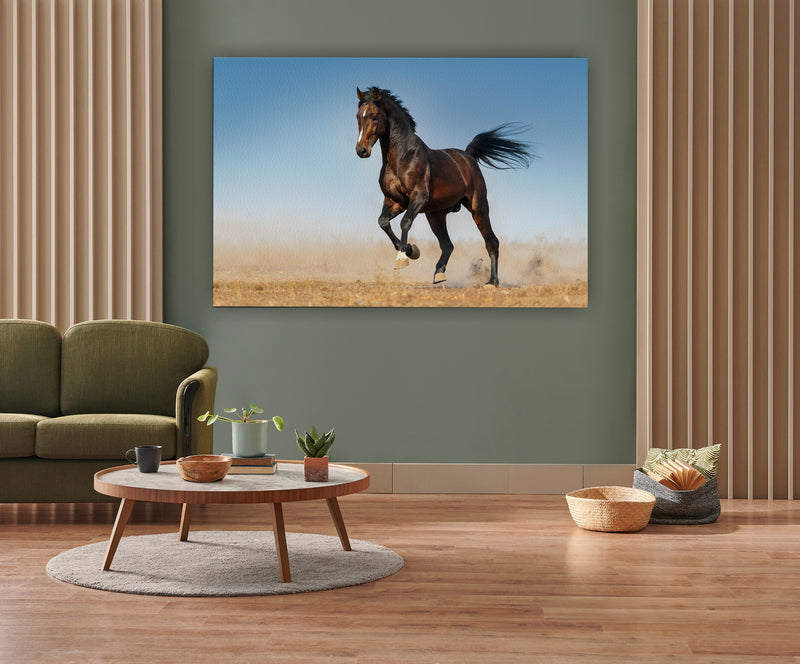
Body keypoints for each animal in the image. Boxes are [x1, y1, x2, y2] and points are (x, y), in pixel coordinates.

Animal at [354, 85, 532, 286]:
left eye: (375, 116)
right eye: (358, 116)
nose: (361, 150)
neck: (402, 157)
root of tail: (468, 156)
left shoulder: (418, 197)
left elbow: (405, 222)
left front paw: (402, 258)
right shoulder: (395, 201)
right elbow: (383, 222)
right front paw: (411, 250)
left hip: (478, 207)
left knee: (492, 242)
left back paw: (492, 282)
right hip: (435, 214)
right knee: (447, 245)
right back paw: (439, 273)